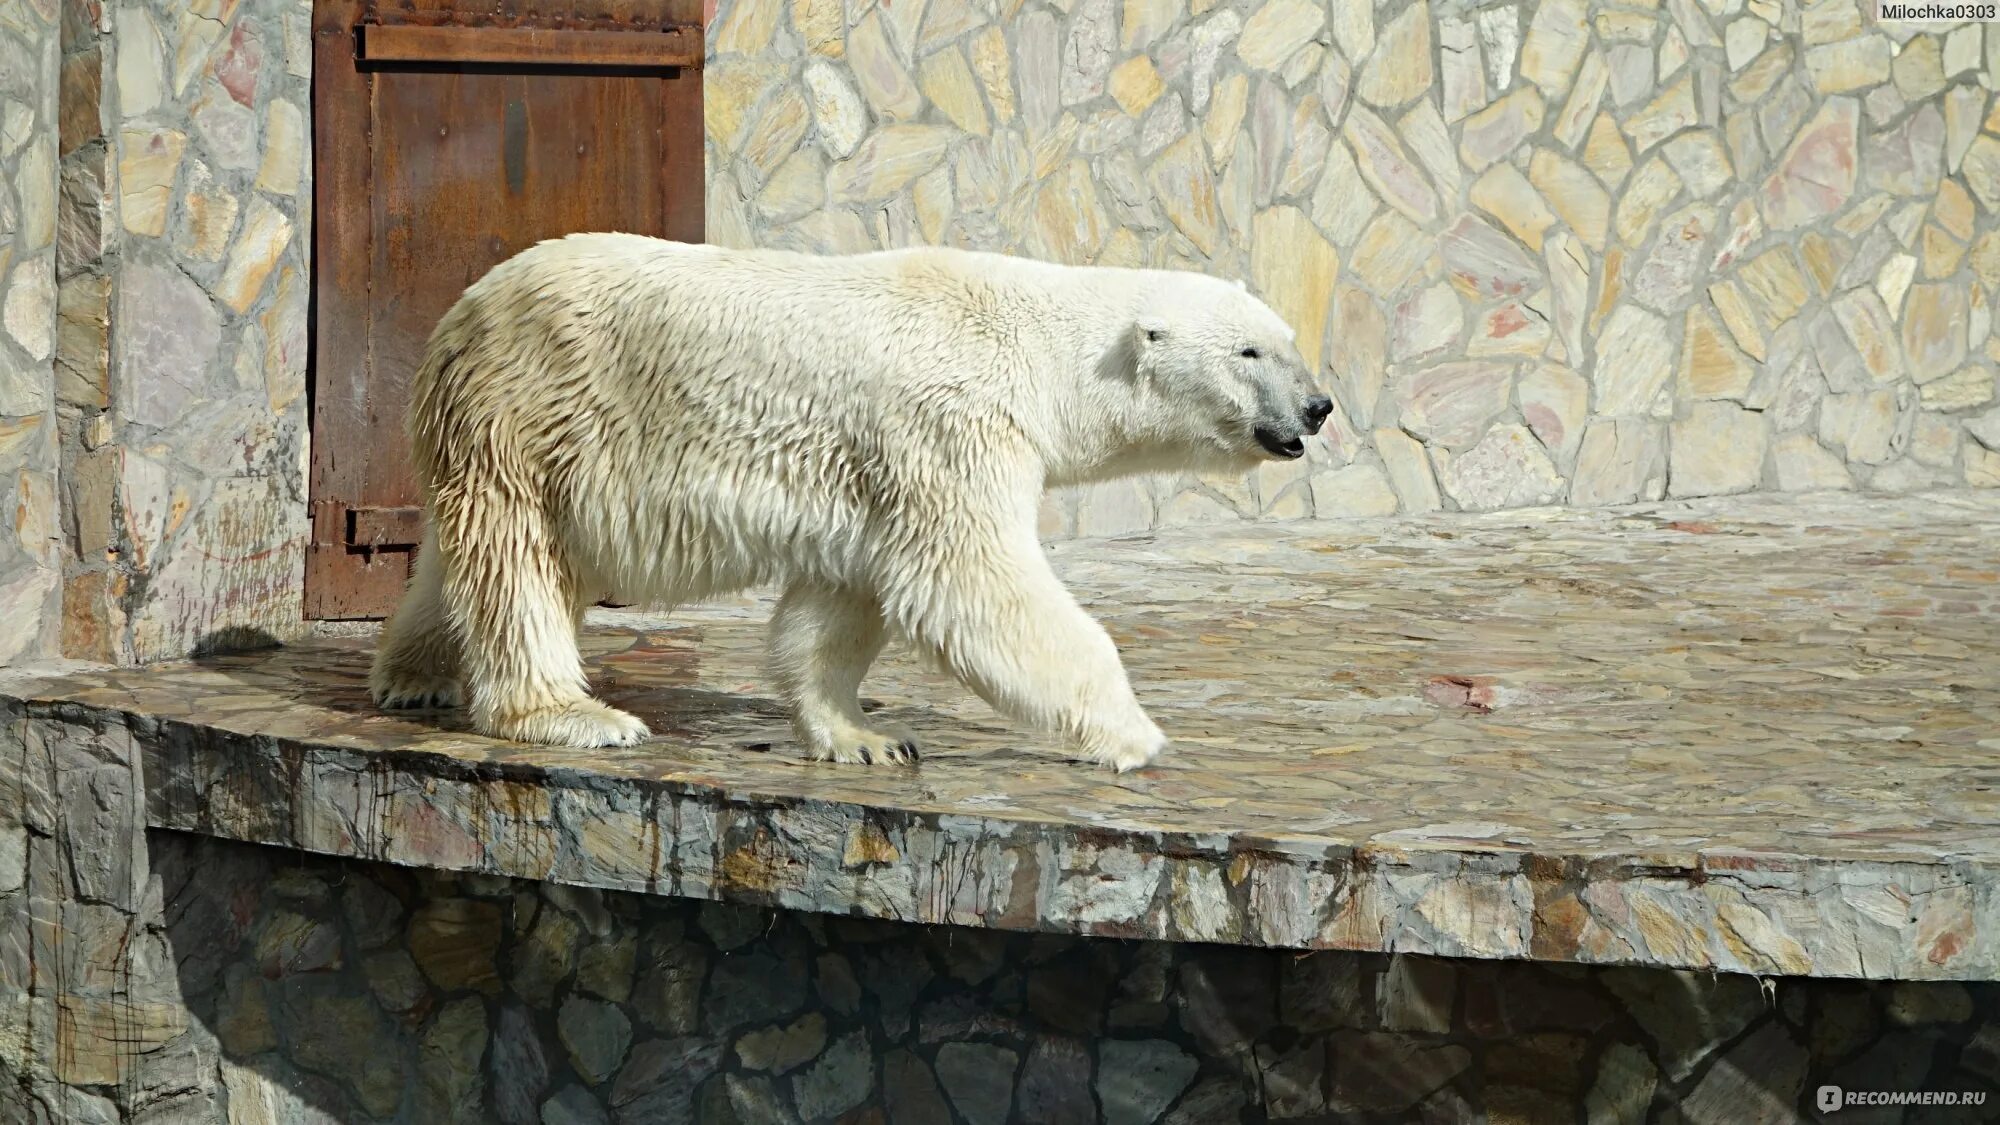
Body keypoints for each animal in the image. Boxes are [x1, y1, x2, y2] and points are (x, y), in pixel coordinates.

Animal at [368, 232, 1336, 764]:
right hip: (536, 411)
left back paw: (415, 678)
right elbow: (970, 579)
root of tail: (459, 313)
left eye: (1288, 340)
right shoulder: (951, 426)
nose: (1319, 407)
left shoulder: (873, 473)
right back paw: (575, 714)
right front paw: (1135, 733)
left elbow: (842, 600)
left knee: (473, 558)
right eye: (1250, 352)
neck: (1031, 341)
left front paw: (865, 737)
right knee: (518, 564)